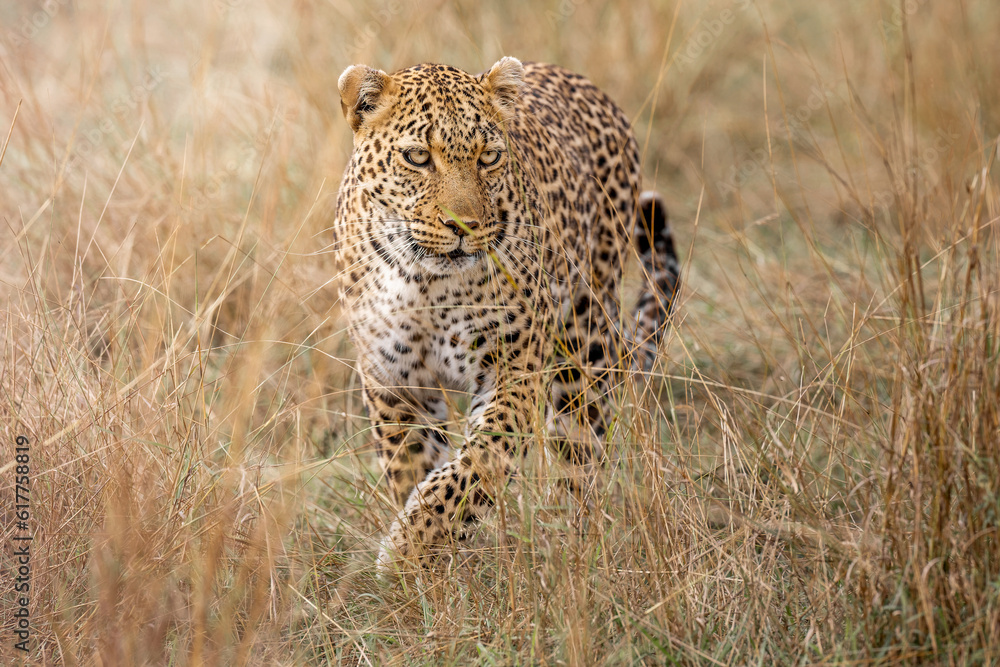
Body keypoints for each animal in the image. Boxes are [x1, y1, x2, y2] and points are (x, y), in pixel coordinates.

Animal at [331, 57, 680, 568]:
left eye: (489, 157)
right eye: (417, 157)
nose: (463, 225)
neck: (428, 285)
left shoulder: (514, 370)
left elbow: (481, 461)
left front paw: (410, 547)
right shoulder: (394, 380)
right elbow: (414, 465)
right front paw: (426, 565)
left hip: (586, 337)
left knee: (579, 451)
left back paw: (568, 544)